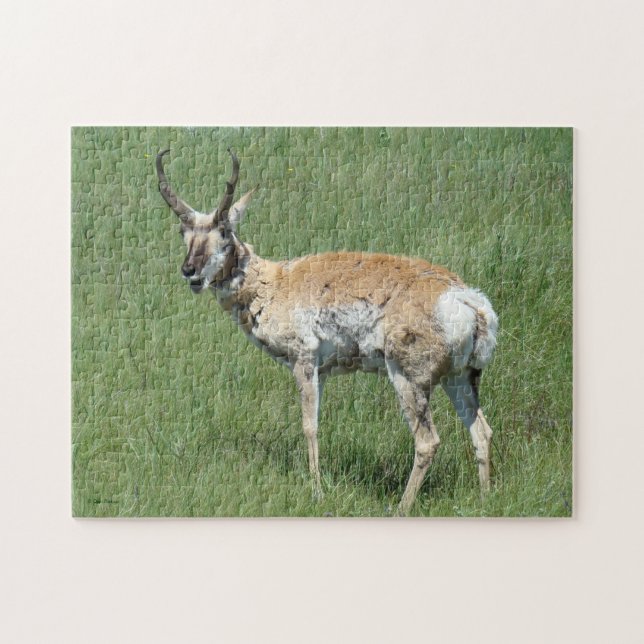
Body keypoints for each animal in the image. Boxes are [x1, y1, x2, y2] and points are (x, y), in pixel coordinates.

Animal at [156, 148, 498, 514]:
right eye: (183, 233)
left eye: (224, 231)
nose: (189, 270)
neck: (275, 283)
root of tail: (468, 300)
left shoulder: (304, 361)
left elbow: (310, 426)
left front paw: (317, 491)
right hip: (459, 377)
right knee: (481, 431)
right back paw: (485, 499)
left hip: (409, 378)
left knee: (428, 441)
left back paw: (401, 507)